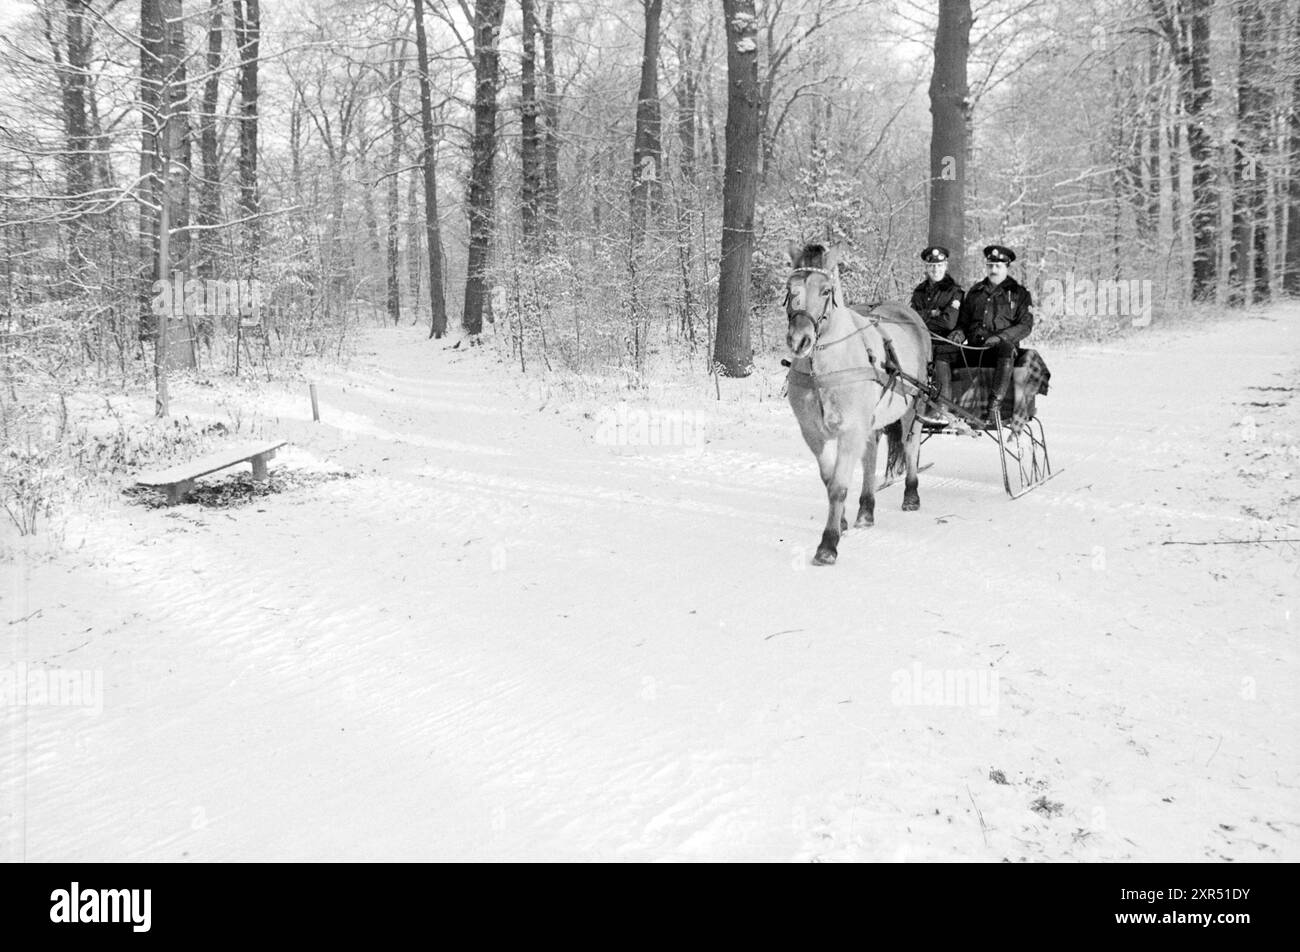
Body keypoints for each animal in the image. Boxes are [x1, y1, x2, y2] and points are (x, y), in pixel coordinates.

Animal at [785, 241, 930, 564]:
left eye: (826, 290)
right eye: (790, 288)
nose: (799, 340)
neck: (823, 370)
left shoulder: (850, 431)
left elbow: (838, 487)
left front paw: (828, 544)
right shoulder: (812, 433)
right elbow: (829, 480)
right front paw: (841, 522)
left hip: (914, 405)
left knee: (910, 446)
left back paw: (912, 495)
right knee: (871, 456)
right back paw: (866, 509)